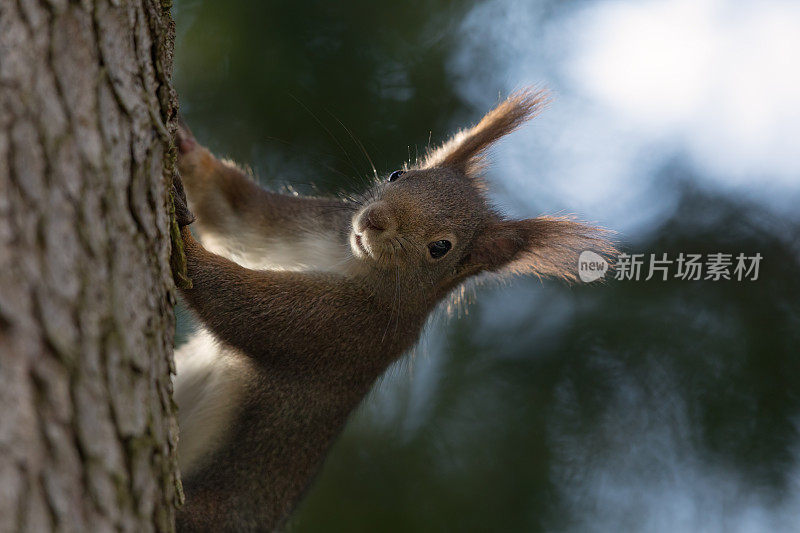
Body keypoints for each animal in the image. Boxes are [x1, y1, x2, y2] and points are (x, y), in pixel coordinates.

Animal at [169, 89, 612, 528]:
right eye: (399, 174)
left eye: (440, 248)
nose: (374, 220)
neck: (350, 258)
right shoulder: (310, 224)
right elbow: (237, 213)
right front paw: (184, 146)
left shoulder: (348, 326)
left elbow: (246, 309)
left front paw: (184, 245)